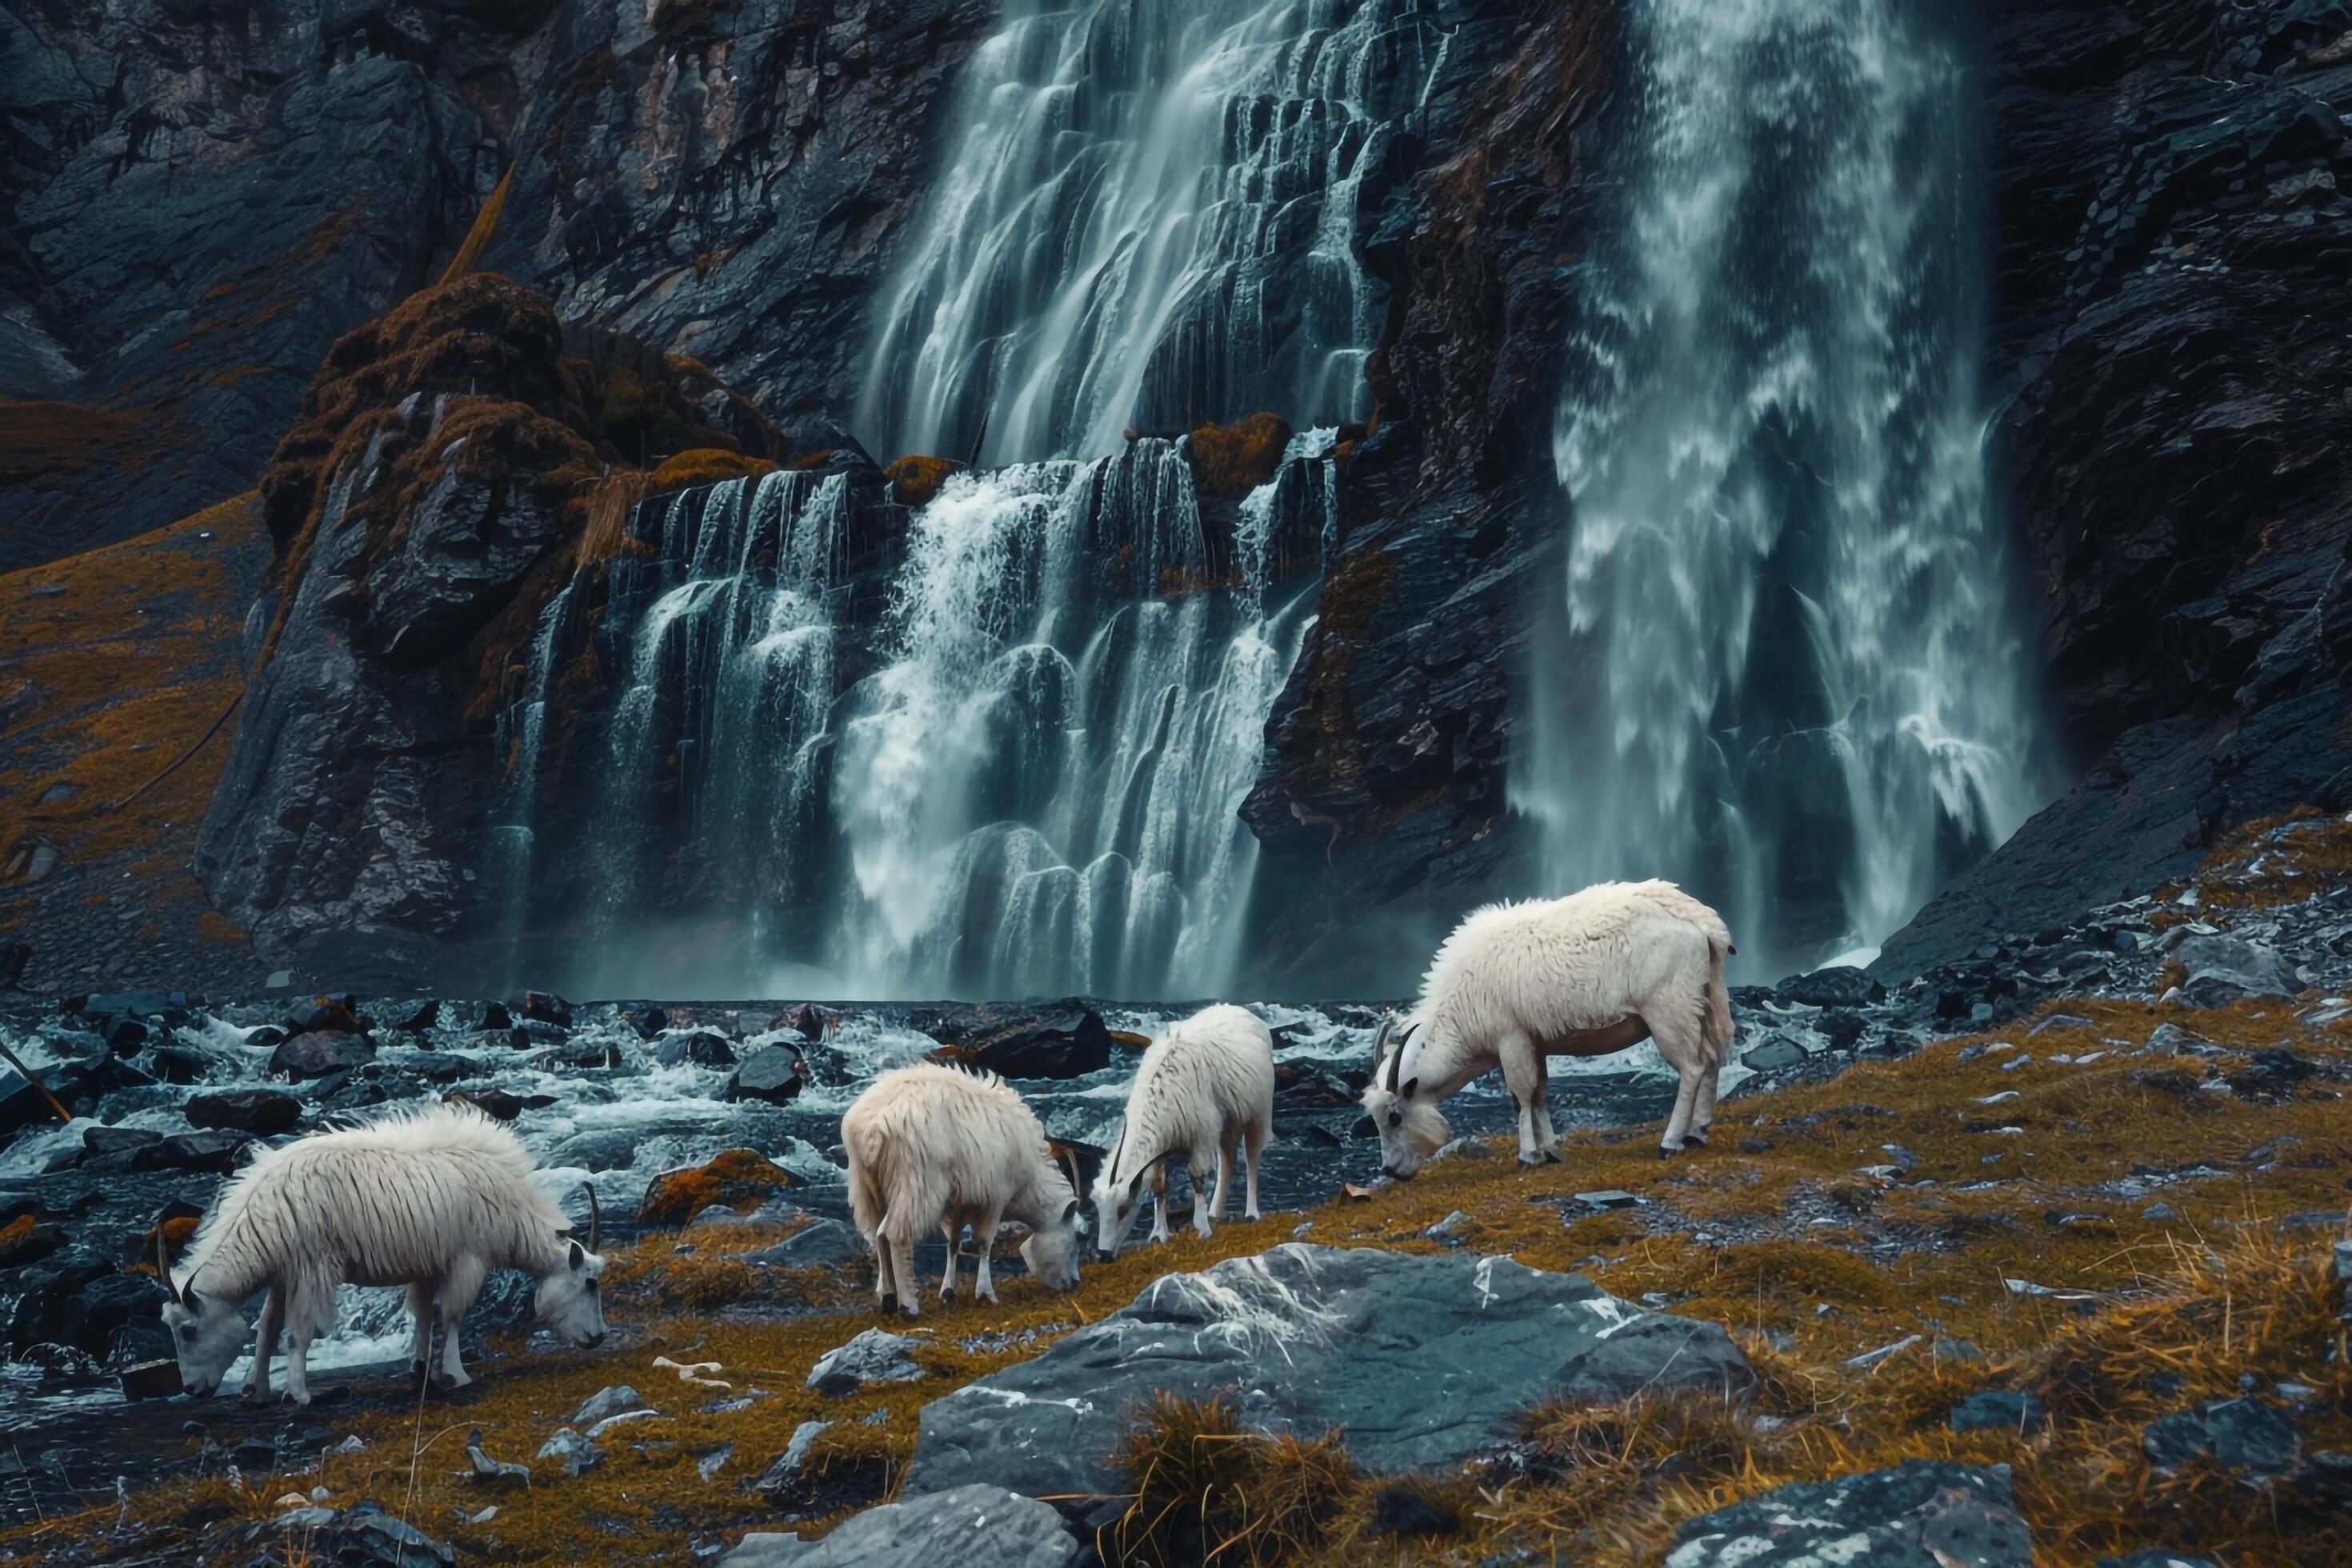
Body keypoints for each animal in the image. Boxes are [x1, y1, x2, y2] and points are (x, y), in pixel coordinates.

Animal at [157, 1109, 606, 1401]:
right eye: (590, 1282)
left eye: (186, 1330)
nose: (191, 1389)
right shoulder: (464, 1259)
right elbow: (451, 1315)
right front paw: (298, 1393)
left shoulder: (427, 1262)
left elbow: (425, 1316)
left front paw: (422, 1371)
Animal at [846, 1067, 1082, 1316]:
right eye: (1074, 1245)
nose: (1075, 1283)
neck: (1030, 1186)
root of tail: (871, 1130)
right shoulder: (995, 1198)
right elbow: (985, 1244)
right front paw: (986, 1293)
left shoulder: (957, 1204)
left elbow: (953, 1244)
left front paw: (948, 1291)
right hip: (915, 1183)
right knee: (895, 1236)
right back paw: (908, 1305)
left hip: (868, 1186)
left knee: (878, 1235)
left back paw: (889, 1298)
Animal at [1091, 1006, 1279, 1260]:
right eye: (1098, 1209)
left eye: (1123, 1209)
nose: (1104, 1255)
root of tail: (1241, 1010)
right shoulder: (1161, 1145)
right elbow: (1159, 1185)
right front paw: (1159, 1234)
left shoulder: (1201, 1134)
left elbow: (1196, 1177)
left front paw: (1202, 1228)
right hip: (1228, 1118)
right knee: (1228, 1157)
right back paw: (1215, 1211)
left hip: (1257, 1111)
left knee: (1252, 1155)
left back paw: (1251, 1212)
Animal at [1364, 883, 1730, 1175]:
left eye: (1394, 1116)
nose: (1392, 1171)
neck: (1461, 1012)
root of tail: (1702, 924)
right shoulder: (1533, 1041)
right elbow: (1540, 1093)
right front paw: (1552, 1150)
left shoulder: (1510, 1037)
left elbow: (1521, 1096)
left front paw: (1528, 1155)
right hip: (1706, 998)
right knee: (1713, 1057)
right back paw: (1697, 1132)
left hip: (1669, 1007)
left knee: (1692, 1066)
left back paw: (1671, 1141)